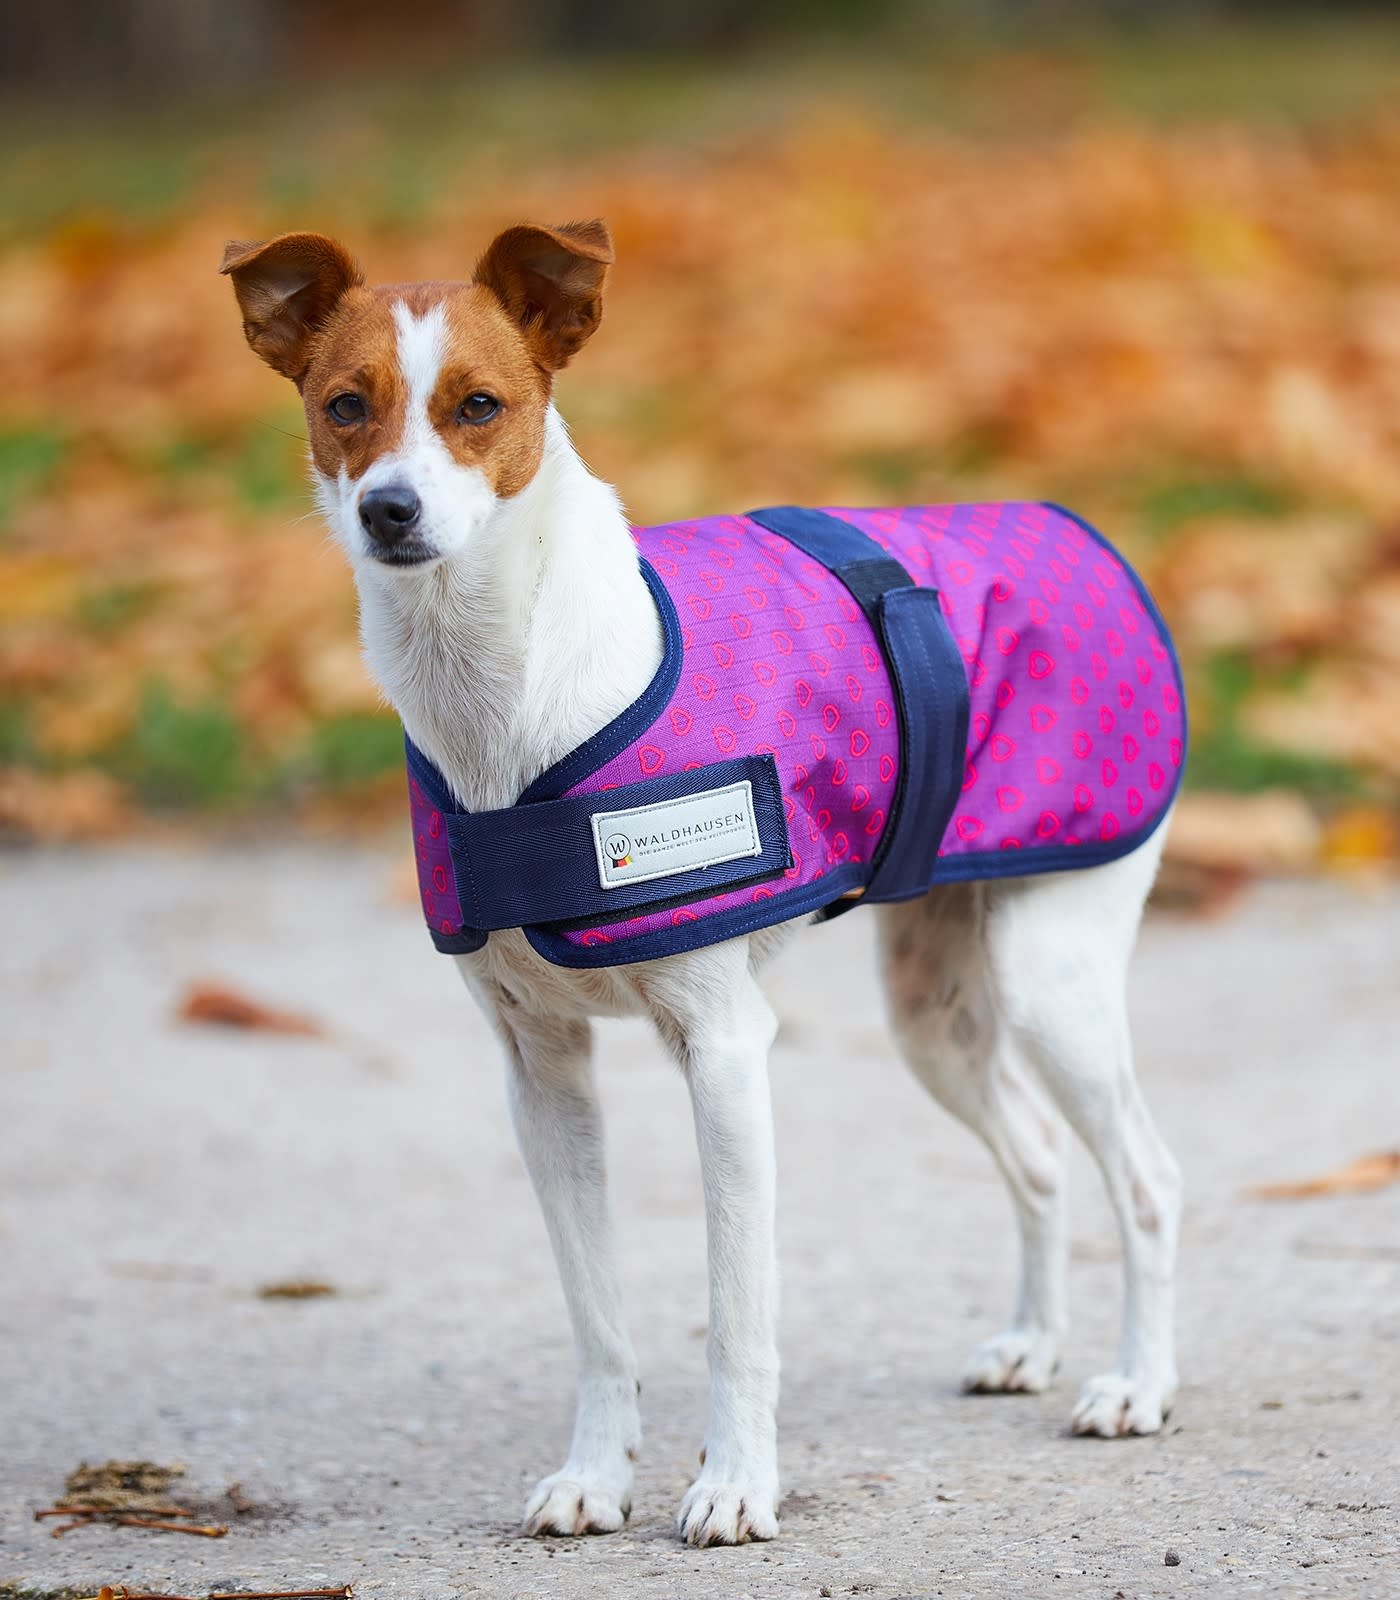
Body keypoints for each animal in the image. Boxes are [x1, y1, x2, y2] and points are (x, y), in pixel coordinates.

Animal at [224, 219, 1190, 1542]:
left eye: (479, 405)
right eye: (343, 406)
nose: (389, 510)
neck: (503, 699)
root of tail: (1072, 526)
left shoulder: (726, 1051)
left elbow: (737, 1311)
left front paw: (733, 1482)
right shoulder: (541, 1076)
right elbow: (596, 1314)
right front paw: (594, 1473)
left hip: (1051, 978)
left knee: (1142, 1174)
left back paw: (1136, 1382)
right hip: (933, 1006)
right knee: (1039, 1154)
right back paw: (1031, 1345)